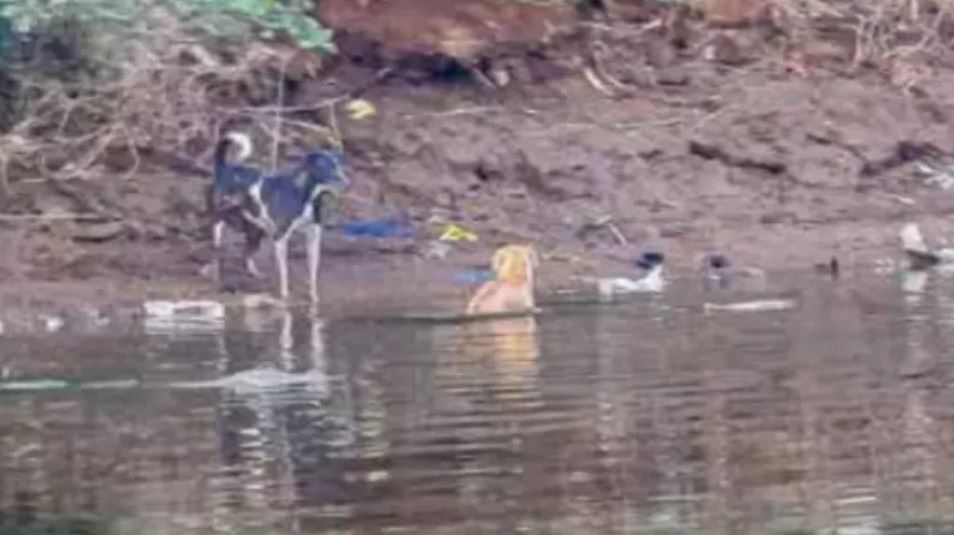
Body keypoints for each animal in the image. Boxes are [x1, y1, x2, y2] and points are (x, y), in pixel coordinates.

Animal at [206, 132, 348, 304]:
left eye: (338, 165)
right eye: (325, 166)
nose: (345, 181)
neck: (306, 194)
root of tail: (225, 168)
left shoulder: (313, 237)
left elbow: (312, 272)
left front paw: (313, 296)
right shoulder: (280, 238)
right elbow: (284, 272)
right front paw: (284, 294)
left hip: (256, 230)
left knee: (246, 254)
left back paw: (253, 273)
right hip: (226, 217)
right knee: (218, 231)